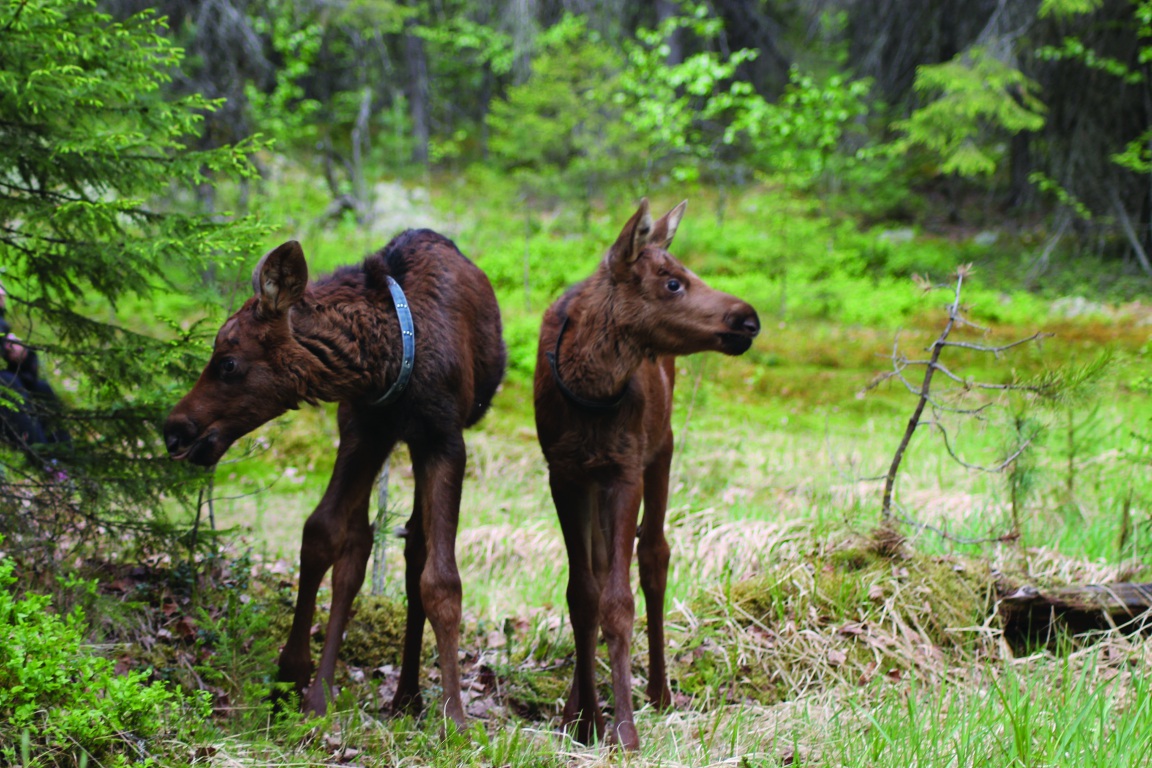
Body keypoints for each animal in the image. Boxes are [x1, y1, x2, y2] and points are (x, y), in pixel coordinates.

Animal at [165, 227, 504, 727]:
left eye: (227, 362)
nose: (173, 429)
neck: (391, 357)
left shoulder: (444, 440)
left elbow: (442, 581)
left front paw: (456, 721)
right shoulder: (363, 427)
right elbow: (322, 533)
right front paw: (293, 677)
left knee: (413, 551)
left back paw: (408, 695)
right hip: (369, 436)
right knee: (362, 544)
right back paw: (347, 692)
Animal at [532, 198, 764, 750]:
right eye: (673, 282)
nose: (748, 319)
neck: (588, 392)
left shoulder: (626, 470)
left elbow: (618, 601)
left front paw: (623, 729)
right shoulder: (564, 474)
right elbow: (582, 595)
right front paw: (584, 722)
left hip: (662, 448)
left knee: (655, 555)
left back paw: (659, 692)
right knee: (600, 571)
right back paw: (577, 707)